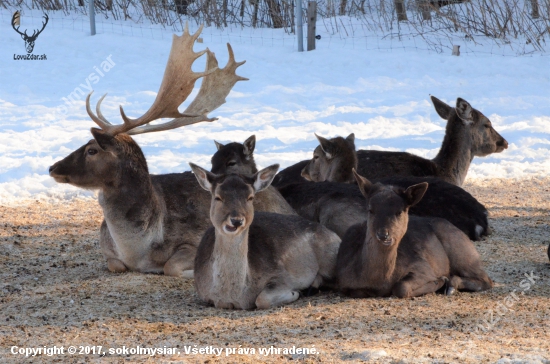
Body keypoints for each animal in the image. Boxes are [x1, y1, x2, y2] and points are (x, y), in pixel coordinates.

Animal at [49, 24, 282, 276]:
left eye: (92, 150)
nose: (52, 167)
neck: (136, 250)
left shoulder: (195, 239)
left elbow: (171, 266)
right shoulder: (109, 253)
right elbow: (115, 265)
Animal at [192, 164, 342, 308]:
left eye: (250, 197)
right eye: (217, 197)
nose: (236, 220)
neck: (236, 296)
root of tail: (336, 235)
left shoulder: (282, 276)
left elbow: (262, 300)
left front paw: (295, 292)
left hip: (330, 257)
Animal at [336, 171, 496, 298]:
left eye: (400, 211)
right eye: (370, 209)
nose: (383, 234)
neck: (378, 280)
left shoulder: (421, 266)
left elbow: (401, 287)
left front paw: (439, 281)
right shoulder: (344, 282)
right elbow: (356, 291)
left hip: (462, 251)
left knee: (487, 280)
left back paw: (450, 286)